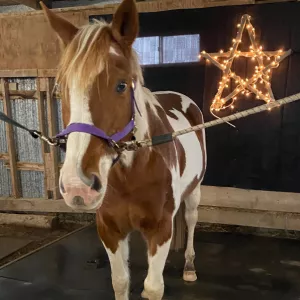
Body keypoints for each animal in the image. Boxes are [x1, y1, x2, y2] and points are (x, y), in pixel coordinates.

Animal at [41, 1, 206, 298]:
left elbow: (152, 287)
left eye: (121, 85)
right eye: (62, 90)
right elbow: (120, 281)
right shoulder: (110, 230)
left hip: (195, 191)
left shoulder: (160, 230)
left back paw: (189, 266)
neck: (132, 172)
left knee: (190, 220)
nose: (78, 186)